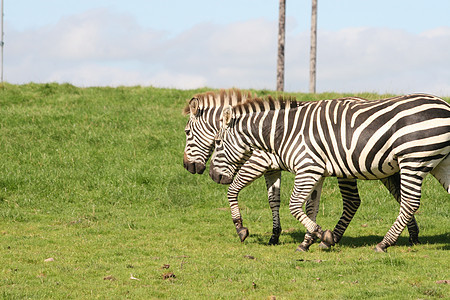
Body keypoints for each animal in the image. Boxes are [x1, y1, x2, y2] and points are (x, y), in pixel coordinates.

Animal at [183, 90, 422, 250]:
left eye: (186, 132)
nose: (188, 166)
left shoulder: (257, 163)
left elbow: (233, 190)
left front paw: (241, 229)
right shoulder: (271, 168)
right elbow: (273, 200)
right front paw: (275, 236)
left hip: (349, 170)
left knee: (354, 201)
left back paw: (334, 238)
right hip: (384, 165)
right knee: (399, 194)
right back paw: (412, 235)